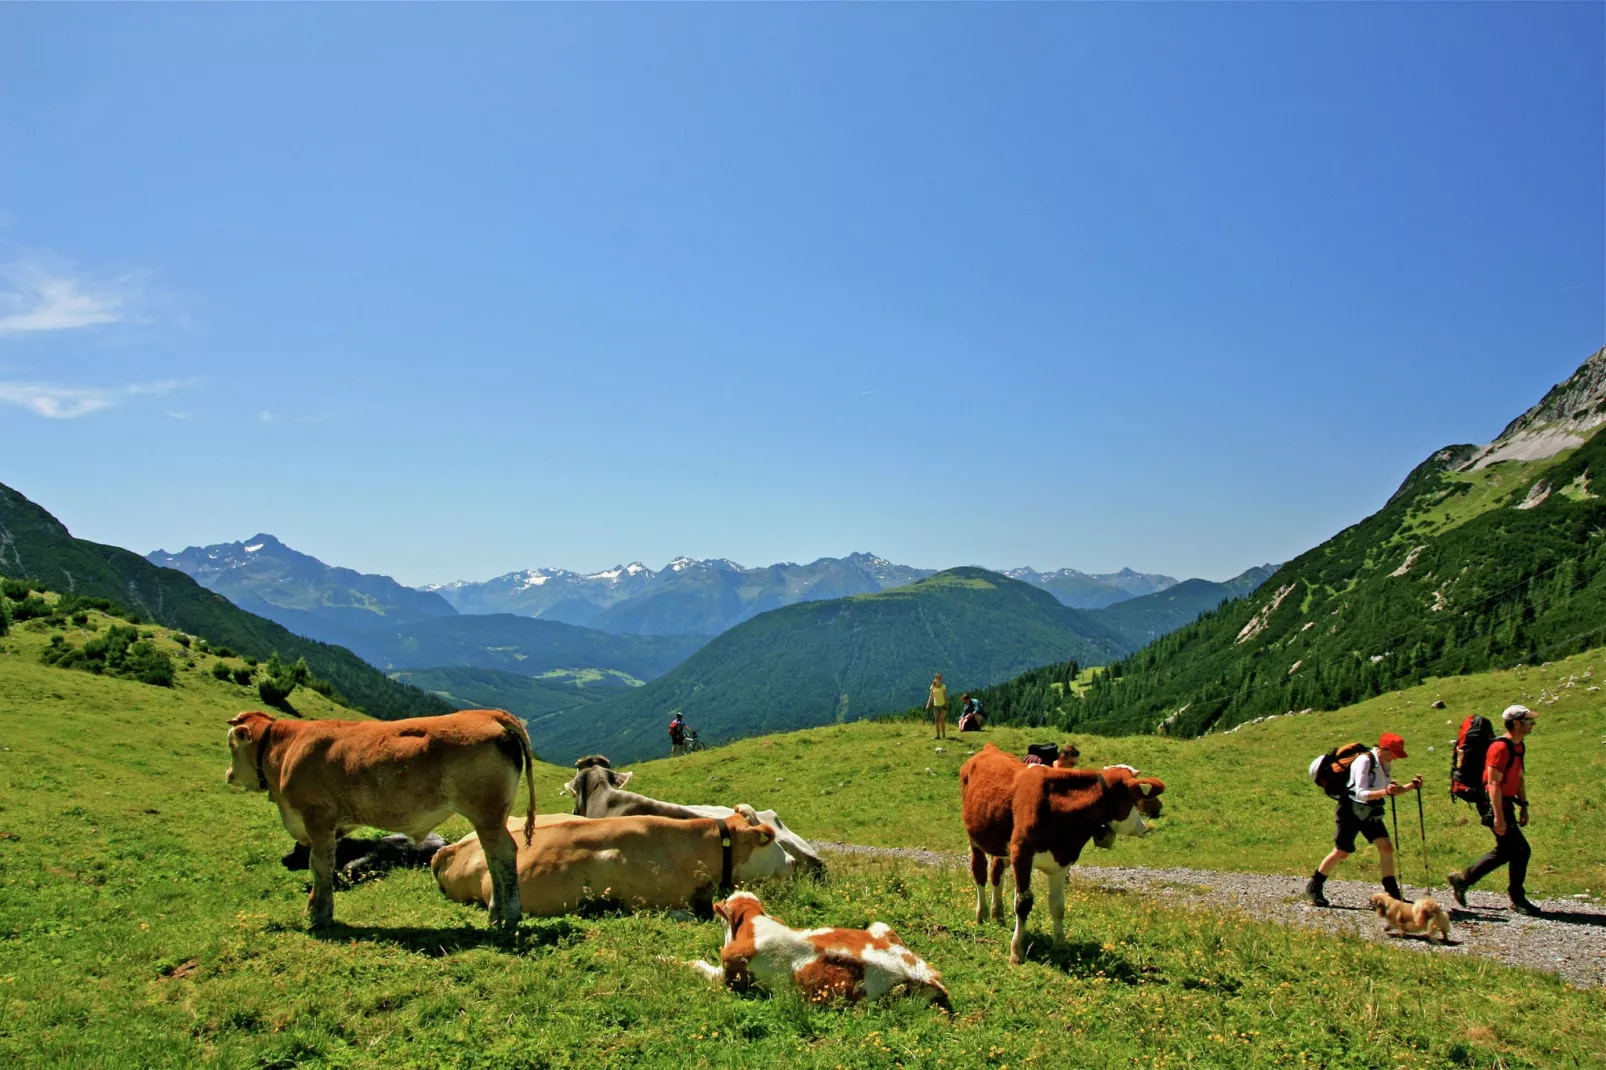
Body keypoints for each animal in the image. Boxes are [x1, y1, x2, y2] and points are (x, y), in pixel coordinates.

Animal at [223, 706, 536, 925]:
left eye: (231, 744)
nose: (228, 774)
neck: (286, 750)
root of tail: (488, 714)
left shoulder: (317, 818)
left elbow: (319, 865)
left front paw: (316, 914)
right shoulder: (335, 827)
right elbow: (329, 864)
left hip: (486, 812)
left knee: (502, 854)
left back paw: (506, 915)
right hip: (490, 815)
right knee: (492, 857)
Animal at [684, 886, 944, 1015]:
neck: (755, 925)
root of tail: (929, 976)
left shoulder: (730, 979)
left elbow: (698, 966)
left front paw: (675, 961)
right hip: (880, 925)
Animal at [950, 742, 1169, 957]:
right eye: (1134, 800)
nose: (1143, 827)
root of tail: (989, 747)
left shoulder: (1063, 860)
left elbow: (1058, 905)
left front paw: (1060, 946)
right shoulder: (1021, 854)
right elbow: (1023, 903)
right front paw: (1017, 950)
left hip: (1000, 844)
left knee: (997, 874)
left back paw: (998, 915)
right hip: (975, 838)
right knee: (979, 873)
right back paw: (982, 914)